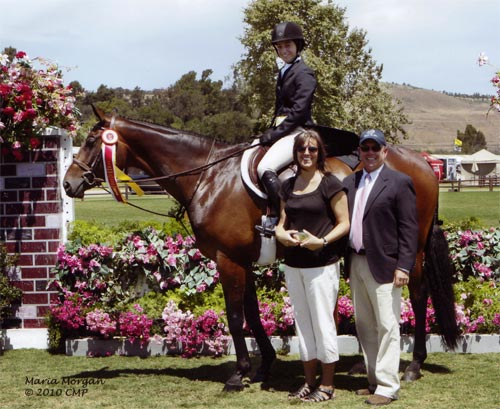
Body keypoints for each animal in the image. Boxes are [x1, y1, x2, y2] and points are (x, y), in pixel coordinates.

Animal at [64, 107, 458, 390]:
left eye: (91, 140)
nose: (68, 184)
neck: (208, 176)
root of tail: (424, 163)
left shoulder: (227, 259)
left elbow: (235, 316)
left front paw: (239, 374)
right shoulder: (242, 259)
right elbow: (252, 315)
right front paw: (263, 366)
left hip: (412, 249)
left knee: (418, 294)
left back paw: (414, 365)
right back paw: (367, 362)